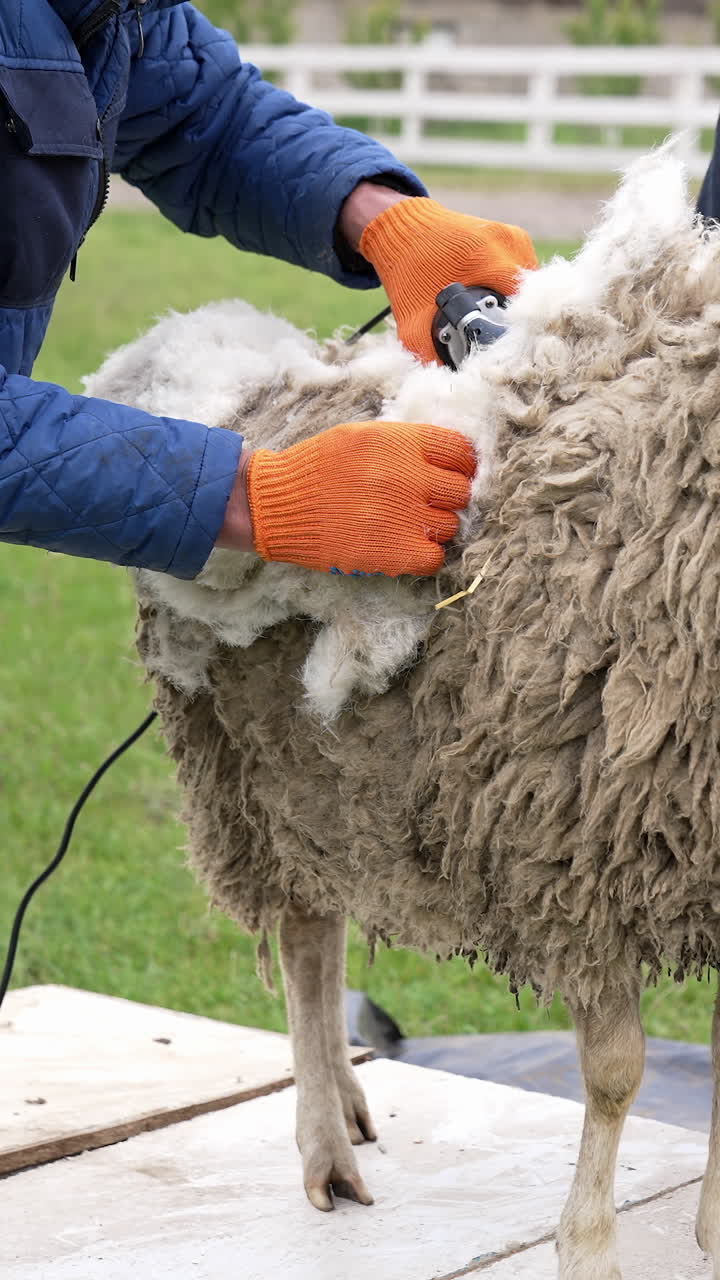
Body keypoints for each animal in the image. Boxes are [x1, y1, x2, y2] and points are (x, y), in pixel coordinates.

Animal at [87, 142, 720, 1279]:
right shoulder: (573, 851)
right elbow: (613, 1071)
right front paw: (589, 1247)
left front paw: (710, 1226)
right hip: (259, 782)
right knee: (306, 941)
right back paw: (326, 1148)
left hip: (334, 789)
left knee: (330, 933)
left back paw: (349, 1092)